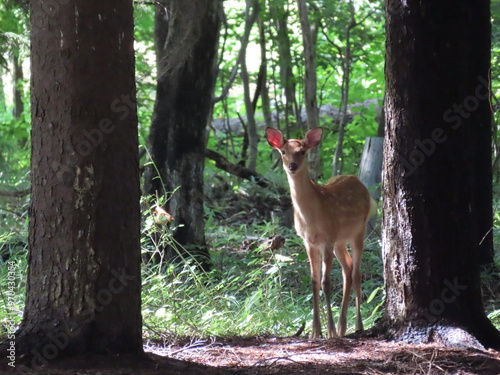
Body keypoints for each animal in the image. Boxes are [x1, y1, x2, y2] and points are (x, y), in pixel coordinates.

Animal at [266, 128, 376, 340]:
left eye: (302, 151)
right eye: (283, 151)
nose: (292, 166)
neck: (311, 218)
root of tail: (357, 179)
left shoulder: (327, 239)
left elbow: (326, 282)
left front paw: (329, 330)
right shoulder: (309, 242)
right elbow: (314, 281)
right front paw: (316, 331)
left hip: (359, 230)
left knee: (357, 273)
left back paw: (357, 325)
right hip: (340, 241)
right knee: (348, 269)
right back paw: (343, 326)